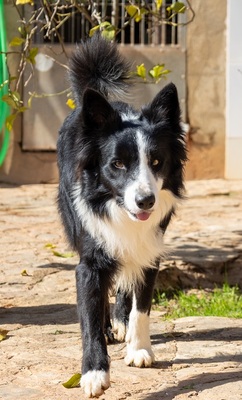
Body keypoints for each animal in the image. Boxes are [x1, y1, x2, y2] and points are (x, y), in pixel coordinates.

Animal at [57, 34, 187, 396]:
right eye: (117, 164)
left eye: (156, 161)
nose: (145, 202)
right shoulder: (90, 256)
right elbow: (89, 315)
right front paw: (94, 374)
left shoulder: (150, 249)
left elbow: (142, 304)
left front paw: (139, 349)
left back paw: (121, 323)